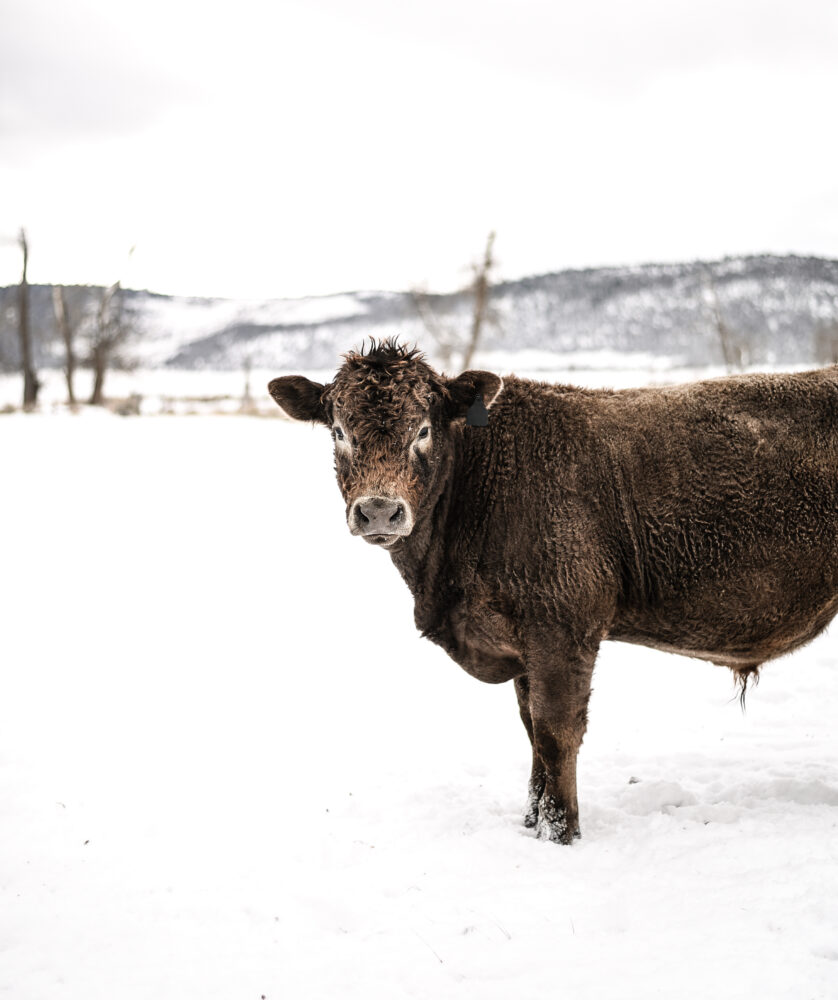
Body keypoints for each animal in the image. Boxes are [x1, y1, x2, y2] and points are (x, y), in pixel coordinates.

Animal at [270, 342, 838, 844]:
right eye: (339, 431)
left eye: (424, 429)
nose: (380, 511)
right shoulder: (523, 644)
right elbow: (530, 731)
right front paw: (532, 822)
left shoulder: (563, 631)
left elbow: (554, 733)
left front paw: (560, 832)